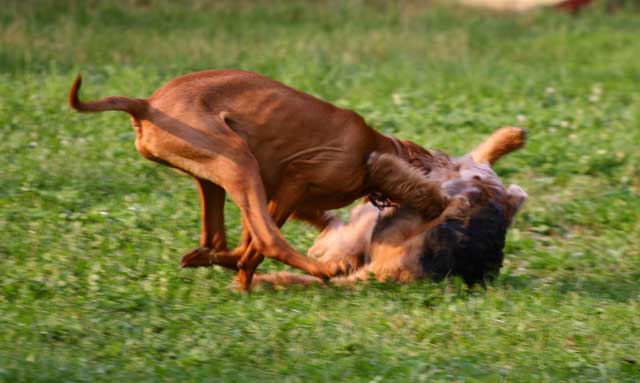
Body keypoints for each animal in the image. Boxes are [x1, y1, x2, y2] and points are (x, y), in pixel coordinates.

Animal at [67, 70, 452, 290]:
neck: (372, 147)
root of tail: (146, 104)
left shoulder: (275, 194)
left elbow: (245, 244)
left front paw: (235, 271)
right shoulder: (295, 180)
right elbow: (257, 243)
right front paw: (244, 274)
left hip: (216, 173)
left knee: (217, 238)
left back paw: (206, 259)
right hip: (239, 160)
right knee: (270, 241)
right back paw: (323, 269)